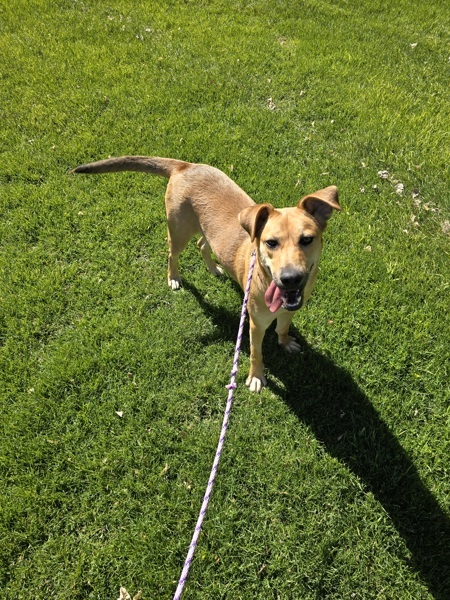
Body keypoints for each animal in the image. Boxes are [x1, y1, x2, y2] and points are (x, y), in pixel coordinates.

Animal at [73, 157, 342, 392]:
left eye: (307, 239)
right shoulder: (255, 325)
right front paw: (256, 377)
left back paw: (213, 268)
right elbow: (256, 353)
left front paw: (286, 342)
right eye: (271, 243)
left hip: (205, 230)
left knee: (202, 244)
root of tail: (185, 165)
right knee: (172, 254)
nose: (290, 279)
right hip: (179, 231)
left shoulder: (290, 310)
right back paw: (173, 277)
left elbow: (283, 328)